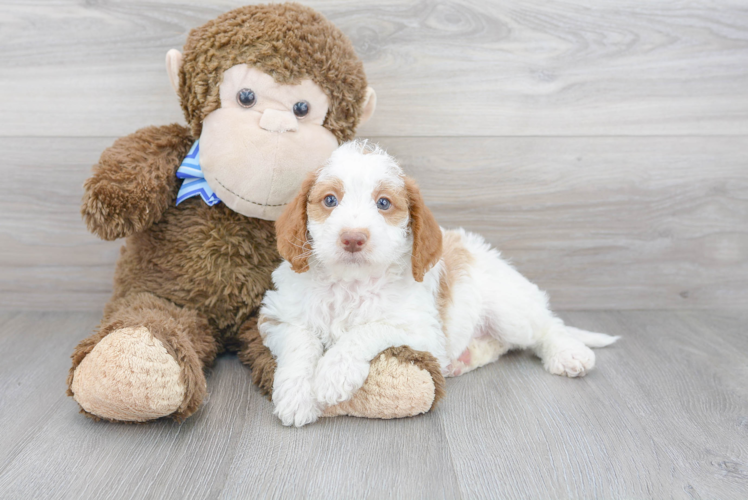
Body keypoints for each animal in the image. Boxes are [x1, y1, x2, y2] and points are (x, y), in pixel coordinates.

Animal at [258, 141, 620, 426]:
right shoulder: (277, 316)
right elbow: (300, 342)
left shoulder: (423, 330)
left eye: (383, 203)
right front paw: (296, 396)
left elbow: (368, 329)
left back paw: (568, 353)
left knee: (546, 327)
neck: (350, 283)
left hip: (509, 309)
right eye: (330, 200)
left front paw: (334, 372)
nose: (353, 238)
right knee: (502, 344)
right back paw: (464, 359)